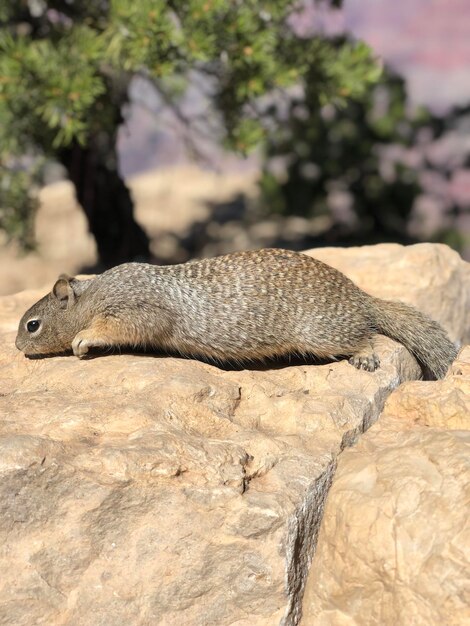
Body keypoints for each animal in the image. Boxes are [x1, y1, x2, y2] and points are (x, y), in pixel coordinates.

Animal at [14, 246, 456, 378]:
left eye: (32, 325)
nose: (17, 347)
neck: (94, 293)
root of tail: (359, 293)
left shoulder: (133, 304)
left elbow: (118, 326)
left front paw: (83, 339)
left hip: (323, 331)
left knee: (363, 334)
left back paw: (364, 356)